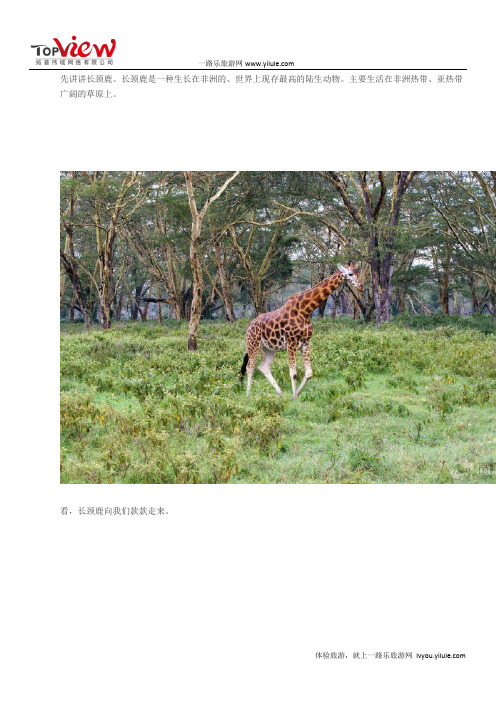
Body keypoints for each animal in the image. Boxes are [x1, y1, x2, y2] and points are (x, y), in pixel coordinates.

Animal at [240, 264, 360, 398]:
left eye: (357, 272)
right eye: (350, 274)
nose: (360, 285)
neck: (305, 310)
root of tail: (249, 325)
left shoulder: (306, 342)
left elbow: (309, 373)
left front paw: (297, 393)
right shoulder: (291, 343)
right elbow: (293, 373)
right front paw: (294, 396)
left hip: (269, 348)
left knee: (263, 367)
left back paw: (280, 393)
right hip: (253, 345)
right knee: (250, 367)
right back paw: (248, 395)